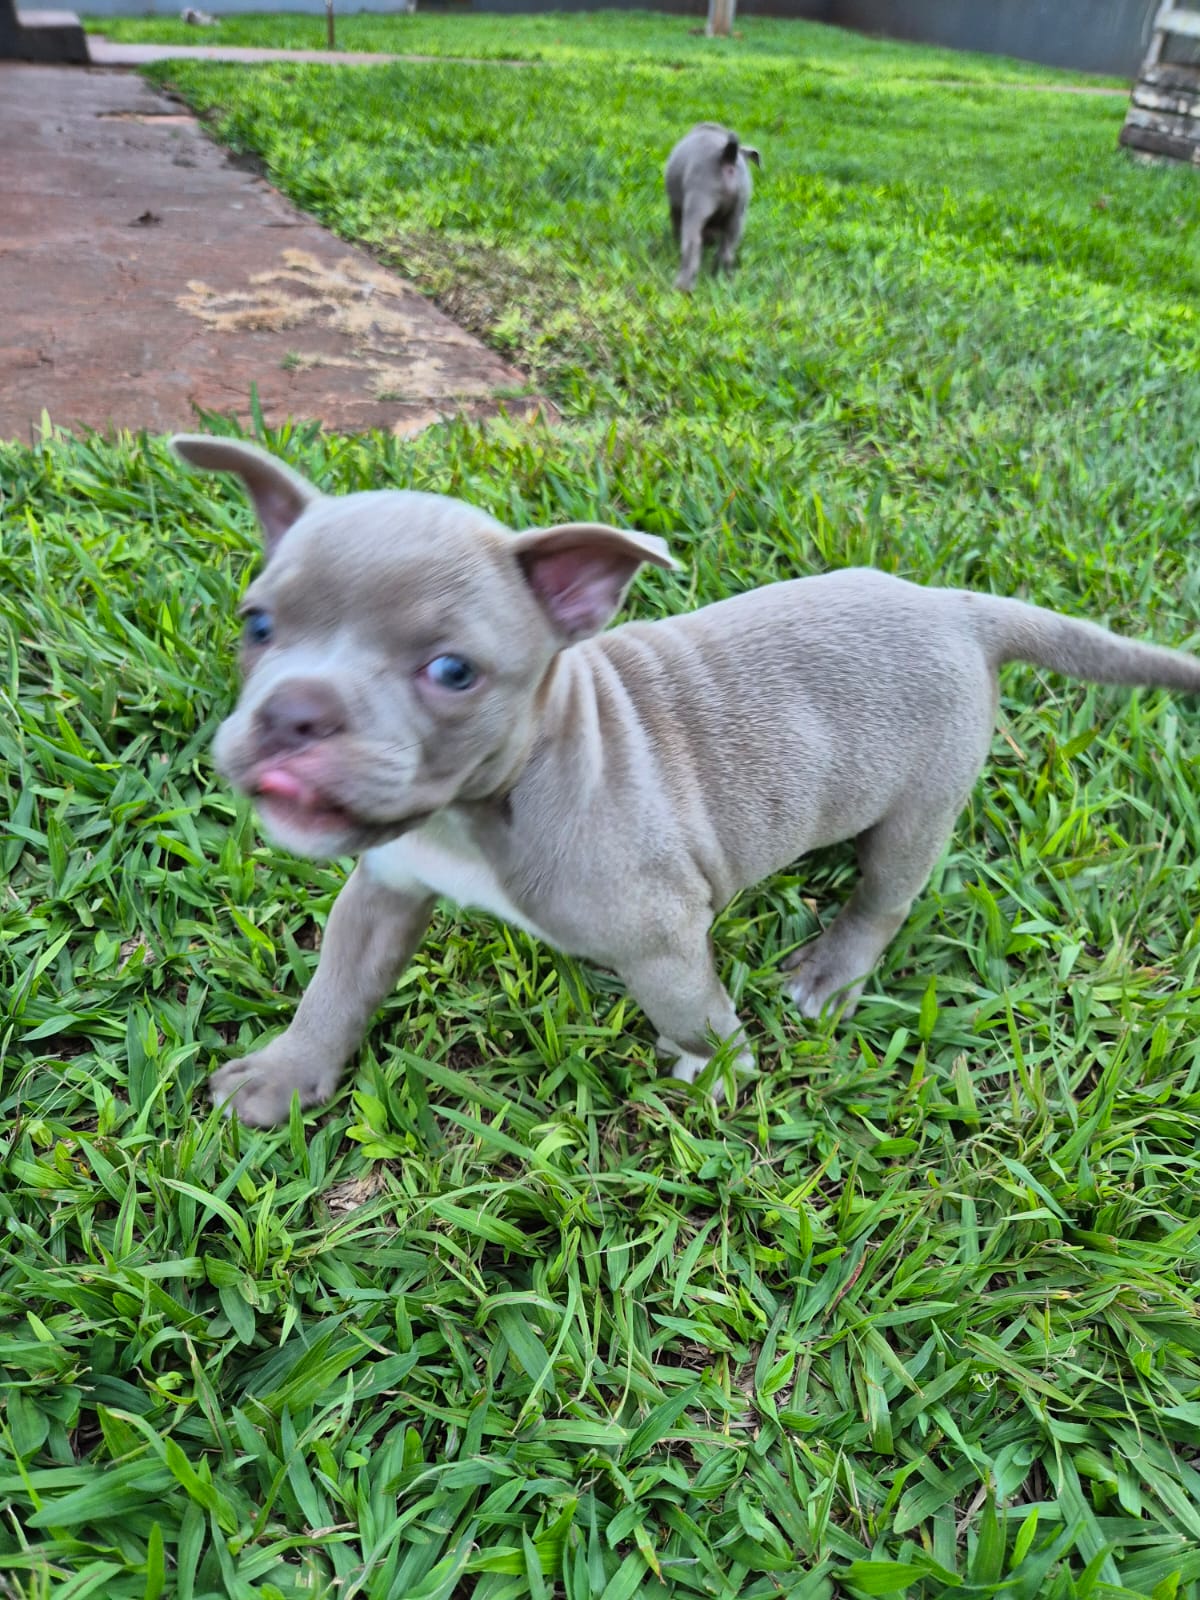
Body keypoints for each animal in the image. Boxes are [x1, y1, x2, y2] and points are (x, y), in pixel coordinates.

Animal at [173, 432, 1200, 1120]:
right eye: (258, 624)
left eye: (452, 672)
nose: (295, 712)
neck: (487, 808)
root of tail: (955, 605)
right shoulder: (383, 887)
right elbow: (337, 986)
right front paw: (284, 1077)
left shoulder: (660, 940)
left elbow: (694, 1013)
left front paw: (716, 1076)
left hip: (922, 801)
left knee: (886, 893)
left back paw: (831, 971)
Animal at [662, 121, 764, 294]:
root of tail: (728, 155)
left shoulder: (676, 206)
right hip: (737, 215)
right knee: (727, 250)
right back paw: (722, 278)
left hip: (698, 203)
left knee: (692, 244)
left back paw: (683, 287)